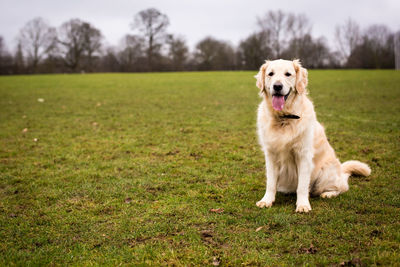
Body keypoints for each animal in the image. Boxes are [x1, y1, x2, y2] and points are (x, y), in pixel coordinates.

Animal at [255, 59, 370, 214]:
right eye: (270, 74)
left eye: (288, 74)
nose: (277, 86)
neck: (284, 118)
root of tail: (340, 170)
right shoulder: (271, 154)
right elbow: (271, 182)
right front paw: (267, 200)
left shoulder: (303, 155)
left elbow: (302, 186)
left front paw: (303, 205)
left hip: (325, 173)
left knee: (342, 187)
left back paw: (328, 193)